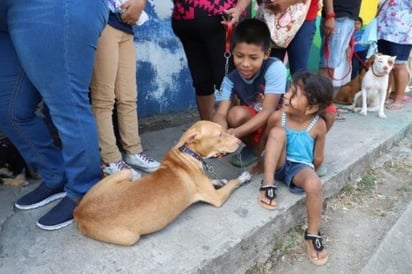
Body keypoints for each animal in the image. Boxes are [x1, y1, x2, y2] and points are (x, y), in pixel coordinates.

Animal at [74, 121, 251, 246]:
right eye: (219, 134)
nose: (239, 140)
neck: (188, 155)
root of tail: (79, 212)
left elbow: (214, 180)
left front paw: (219, 180)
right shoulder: (216, 198)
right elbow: (233, 182)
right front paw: (243, 176)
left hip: (124, 174)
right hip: (131, 237)